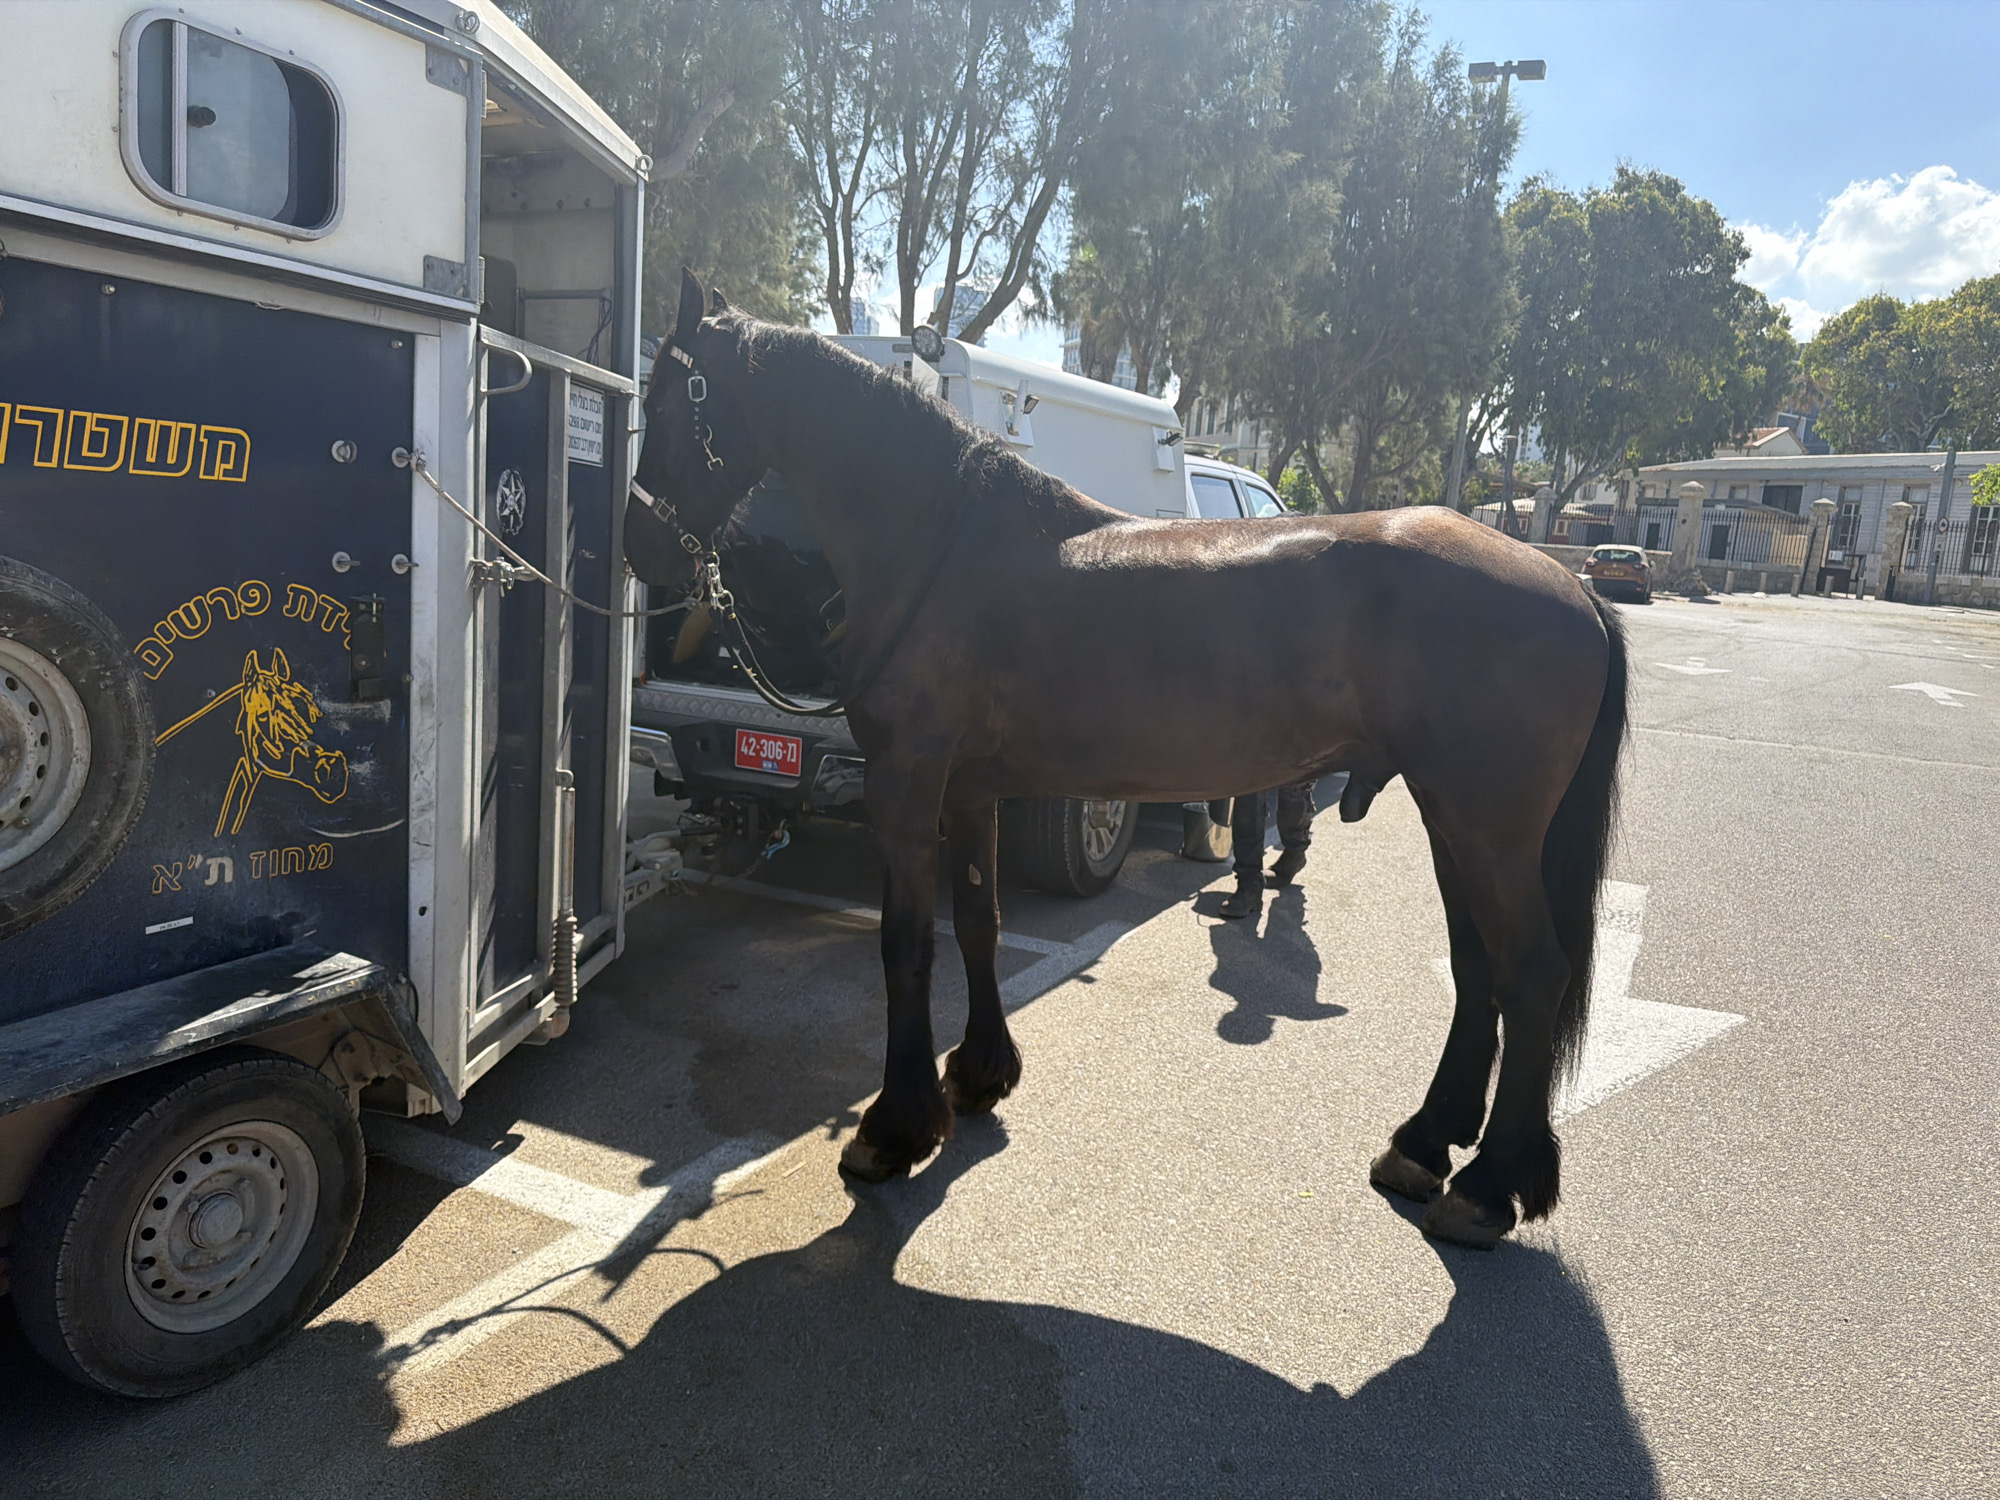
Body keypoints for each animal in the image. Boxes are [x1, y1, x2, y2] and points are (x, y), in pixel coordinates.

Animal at [628, 269, 1627, 1249]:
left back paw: (1490, 1188)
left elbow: (906, 942)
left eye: (669, 399)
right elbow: (979, 922)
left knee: (1529, 972)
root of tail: (1572, 586)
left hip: (1487, 827)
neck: (940, 544)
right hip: (1457, 820)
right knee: (1478, 969)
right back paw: (1424, 1146)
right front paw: (980, 1075)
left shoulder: (905, 783)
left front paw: (893, 1129)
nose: (642, 547)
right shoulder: (970, 792)